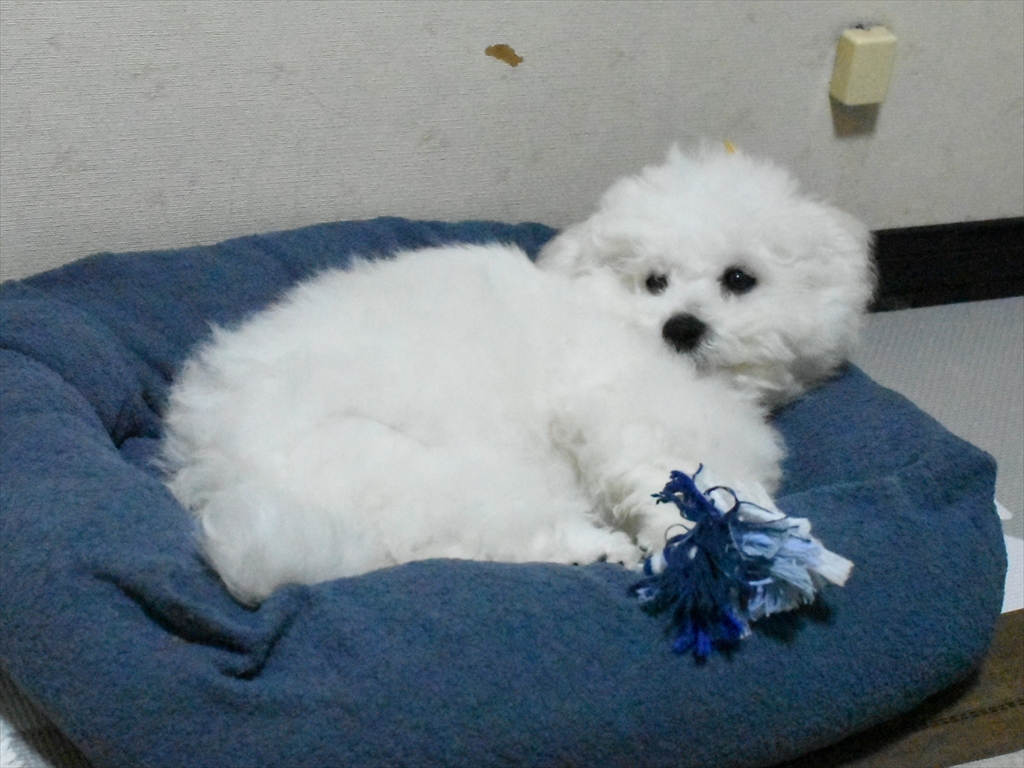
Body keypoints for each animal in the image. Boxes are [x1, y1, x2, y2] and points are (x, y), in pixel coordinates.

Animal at [161, 145, 875, 604]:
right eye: (654, 282)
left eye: (739, 279)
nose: (681, 326)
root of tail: (215, 471)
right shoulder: (613, 408)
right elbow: (667, 477)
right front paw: (702, 536)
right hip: (435, 471)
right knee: (492, 531)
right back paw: (598, 549)